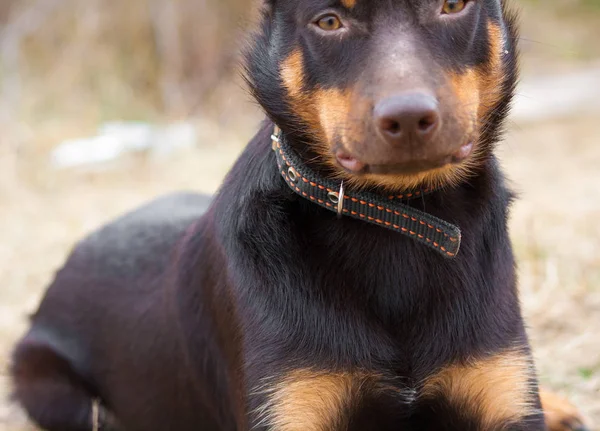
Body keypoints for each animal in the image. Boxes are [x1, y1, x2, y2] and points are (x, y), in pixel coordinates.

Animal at [11, 0, 588, 431]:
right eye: (328, 21)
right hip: (55, 390)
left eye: (452, 5)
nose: (407, 118)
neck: (396, 218)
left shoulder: (502, 390)